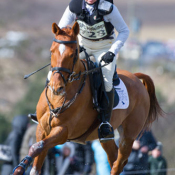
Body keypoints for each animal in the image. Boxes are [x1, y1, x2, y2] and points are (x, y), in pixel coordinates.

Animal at [13, 22, 163, 175]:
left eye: (73, 54)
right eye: (51, 52)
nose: (56, 87)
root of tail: (136, 78)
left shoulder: (63, 131)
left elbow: (36, 147)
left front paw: (21, 167)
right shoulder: (42, 128)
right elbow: (38, 154)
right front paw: (22, 167)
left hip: (129, 135)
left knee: (119, 163)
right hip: (106, 135)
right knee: (113, 156)